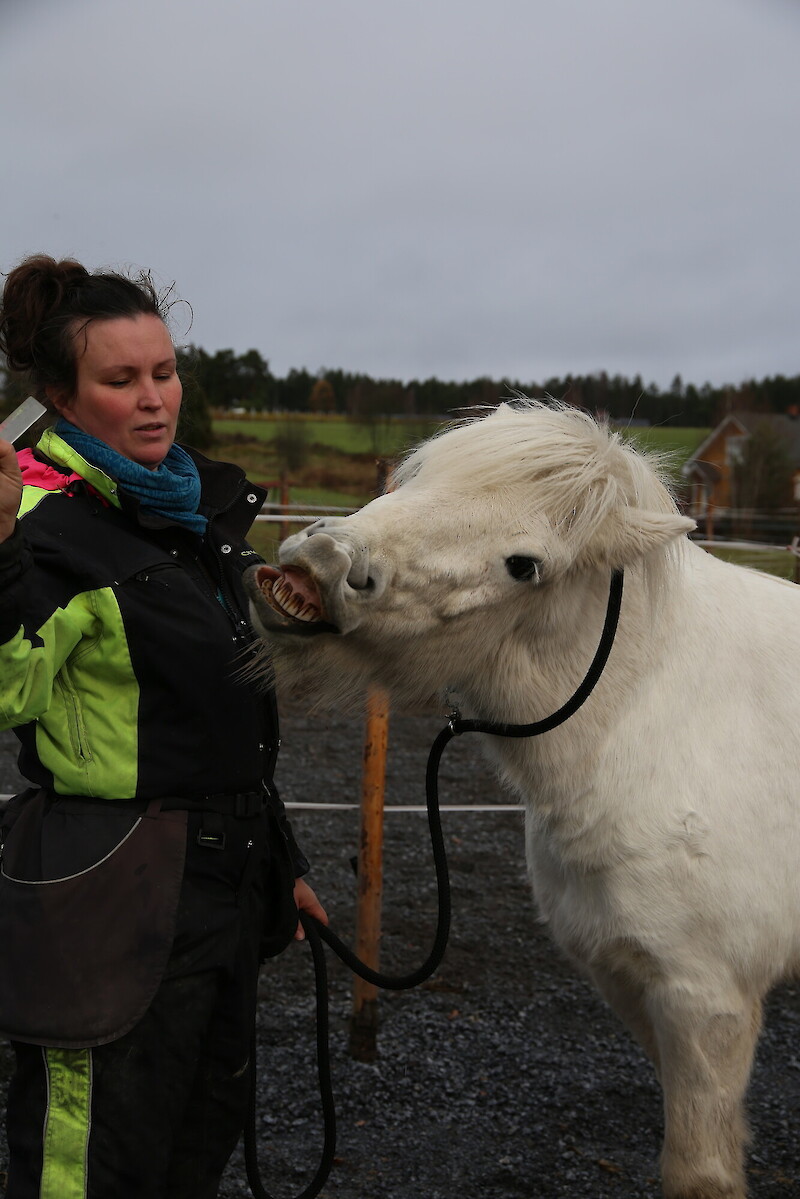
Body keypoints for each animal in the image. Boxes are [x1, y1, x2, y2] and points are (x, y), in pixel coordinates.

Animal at [247, 402, 800, 1199]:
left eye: (524, 565)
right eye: (419, 476)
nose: (315, 566)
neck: (661, 718)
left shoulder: (706, 998)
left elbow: (700, 1168)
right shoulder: (633, 982)